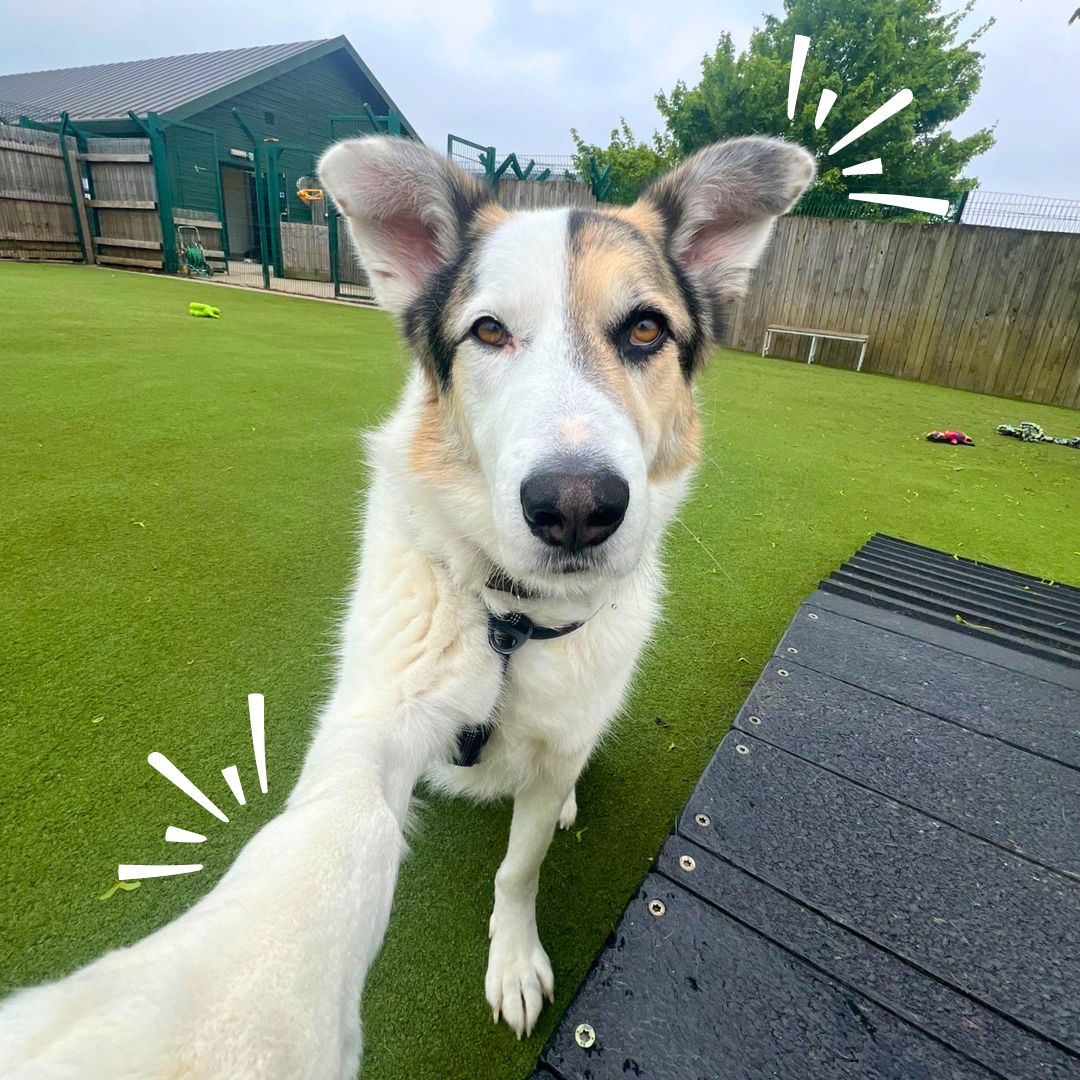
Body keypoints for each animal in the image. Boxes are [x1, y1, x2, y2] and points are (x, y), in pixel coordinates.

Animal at [0, 137, 812, 1080]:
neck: (509, 621)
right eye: (489, 331)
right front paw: (224, 1011)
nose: (576, 507)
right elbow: (333, 833)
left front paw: (512, 958)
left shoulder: (553, 744)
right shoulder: (376, 716)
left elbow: (519, 869)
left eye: (645, 329)